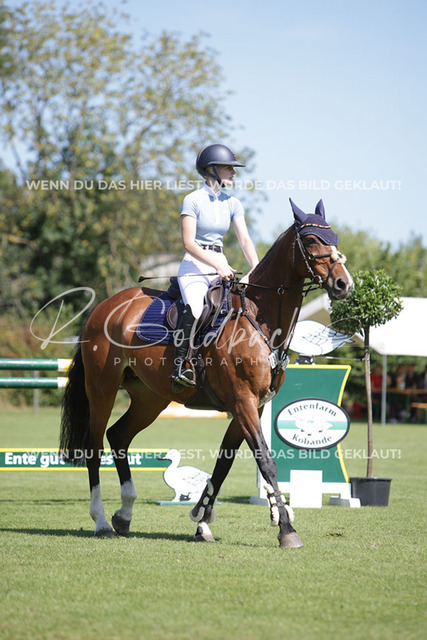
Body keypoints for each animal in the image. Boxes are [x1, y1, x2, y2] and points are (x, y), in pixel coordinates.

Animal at [60, 198, 353, 548]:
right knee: (94, 449)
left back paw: (125, 514)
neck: (260, 318)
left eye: (334, 238)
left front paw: (201, 521)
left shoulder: (252, 406)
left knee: (119, 436)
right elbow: (265, 461)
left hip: (150, 398)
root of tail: (102, 308)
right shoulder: (242, 401)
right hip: (102, 389)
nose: (344, 284)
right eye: (310, 240)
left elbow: (223, 464)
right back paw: (102, 520)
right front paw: (286, 529)